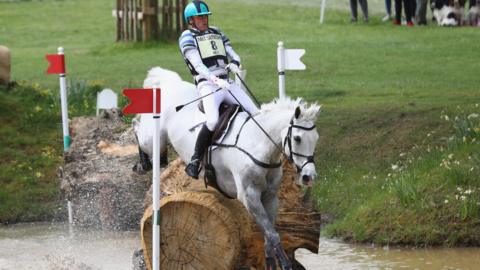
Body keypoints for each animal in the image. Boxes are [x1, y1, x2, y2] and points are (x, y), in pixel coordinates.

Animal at [133, 66, 320, 268]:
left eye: (316, 138)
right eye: (297, 138)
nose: (309, 176)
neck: (258, 144)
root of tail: (170, 83)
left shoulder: (270, 196)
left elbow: (269, 235)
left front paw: (271, 262)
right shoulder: (249, 196)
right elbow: (272, 234)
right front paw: (285, 264)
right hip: (152, 138)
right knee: (137, 127)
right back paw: (143, 163)